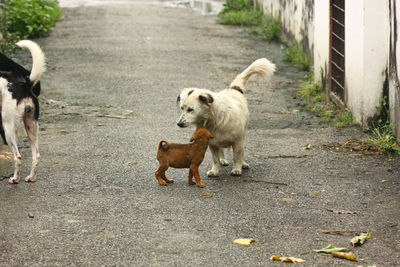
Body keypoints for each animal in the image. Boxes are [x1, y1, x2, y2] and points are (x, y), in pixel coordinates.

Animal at [0, 40, 45, 185]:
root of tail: (25, 85)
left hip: (8, 128)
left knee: (18, 157)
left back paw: (14, 179)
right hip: (31, 126)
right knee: (36, 156)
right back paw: (31, 177)